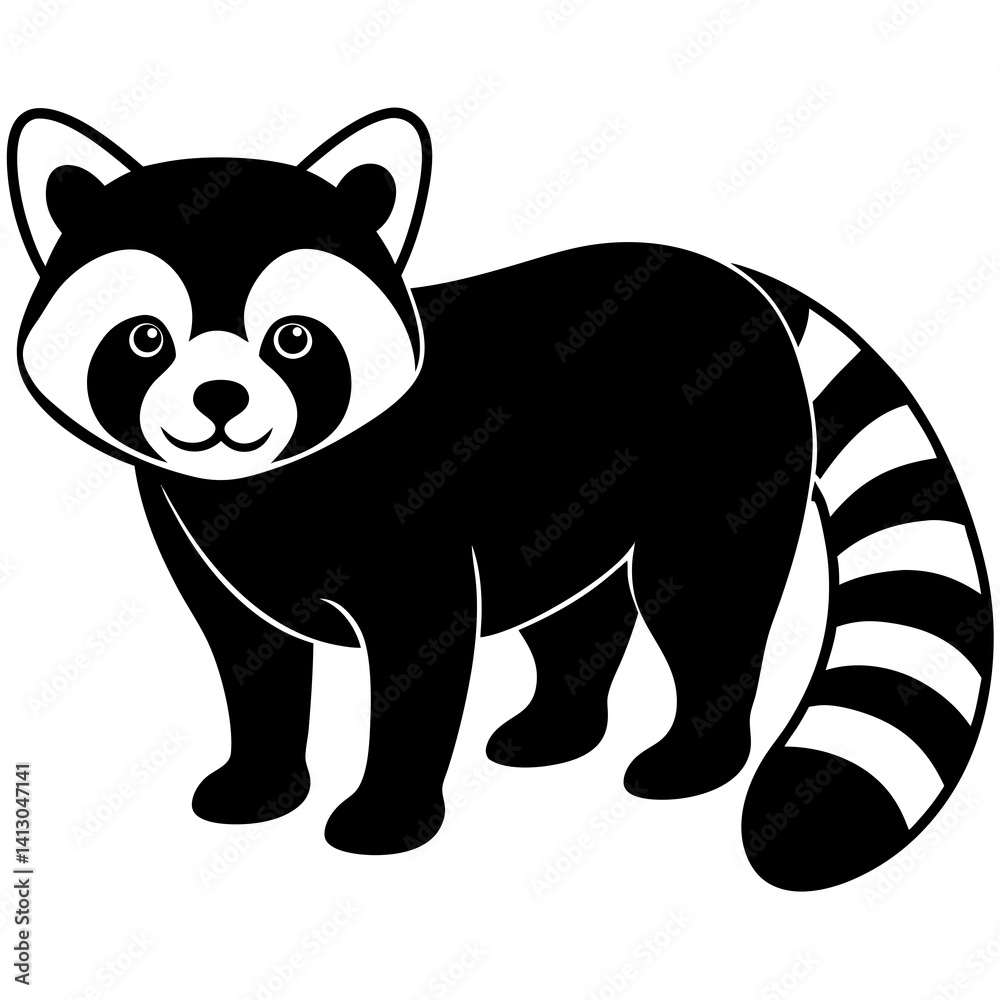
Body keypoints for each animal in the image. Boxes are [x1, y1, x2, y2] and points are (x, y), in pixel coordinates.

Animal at [9, 107, 992, 890]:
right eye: (145, 339)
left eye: (292, 338)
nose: (220, 400)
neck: (261, 487)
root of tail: (731, 275)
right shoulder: (208, 550)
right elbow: (254, 664)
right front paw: (261, 781)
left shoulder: (412, 533)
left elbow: (420, 664)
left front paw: (387, 813)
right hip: (569, 498)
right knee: (583, 614)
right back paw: (560, 726)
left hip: (720, 460)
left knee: (702, 601)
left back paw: (694, 756)